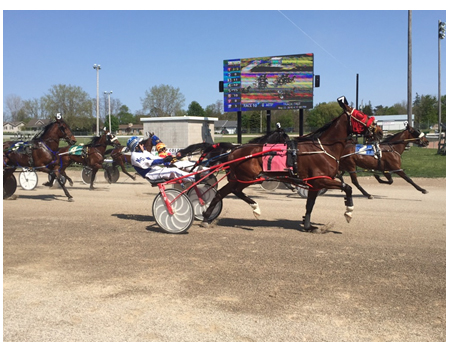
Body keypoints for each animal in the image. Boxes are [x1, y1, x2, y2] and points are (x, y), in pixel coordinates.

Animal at [200, 96, 384, 231]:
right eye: (360, 115)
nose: (379, 130)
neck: (323, 148)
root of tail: (234, 150)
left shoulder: (314, 184)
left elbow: (310, 205)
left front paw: (308, 225)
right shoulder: (321, 179)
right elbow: (348, 188)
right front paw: (349, 211)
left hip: (243, 178)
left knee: (225, 192)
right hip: (246, 177)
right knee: (228, 192)